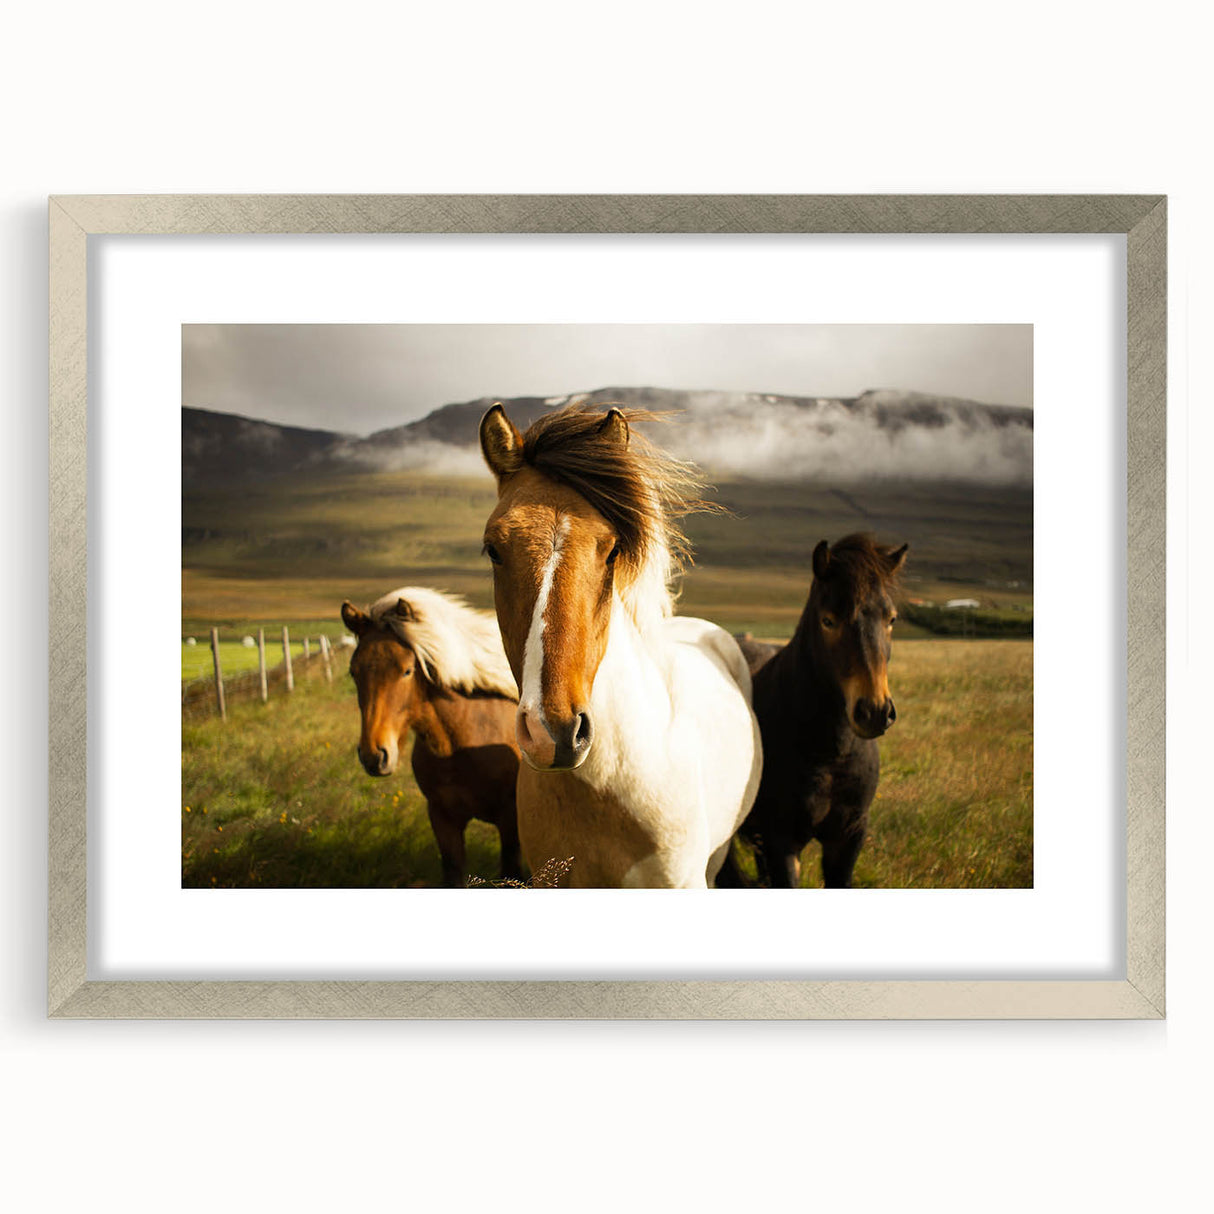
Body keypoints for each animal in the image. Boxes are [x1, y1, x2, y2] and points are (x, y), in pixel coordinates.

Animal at [340, 586, 523, 887]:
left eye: (407, 670)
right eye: (353, 671)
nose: (374, 755)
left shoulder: (510, 821)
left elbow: (513, 872)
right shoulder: (442, 818)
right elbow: (453, 872)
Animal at [718, 533, 907, 888]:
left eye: (891, 619)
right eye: (828, 620)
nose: (874, 711)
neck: (830, 754)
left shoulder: (848, 838)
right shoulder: (781, 842)